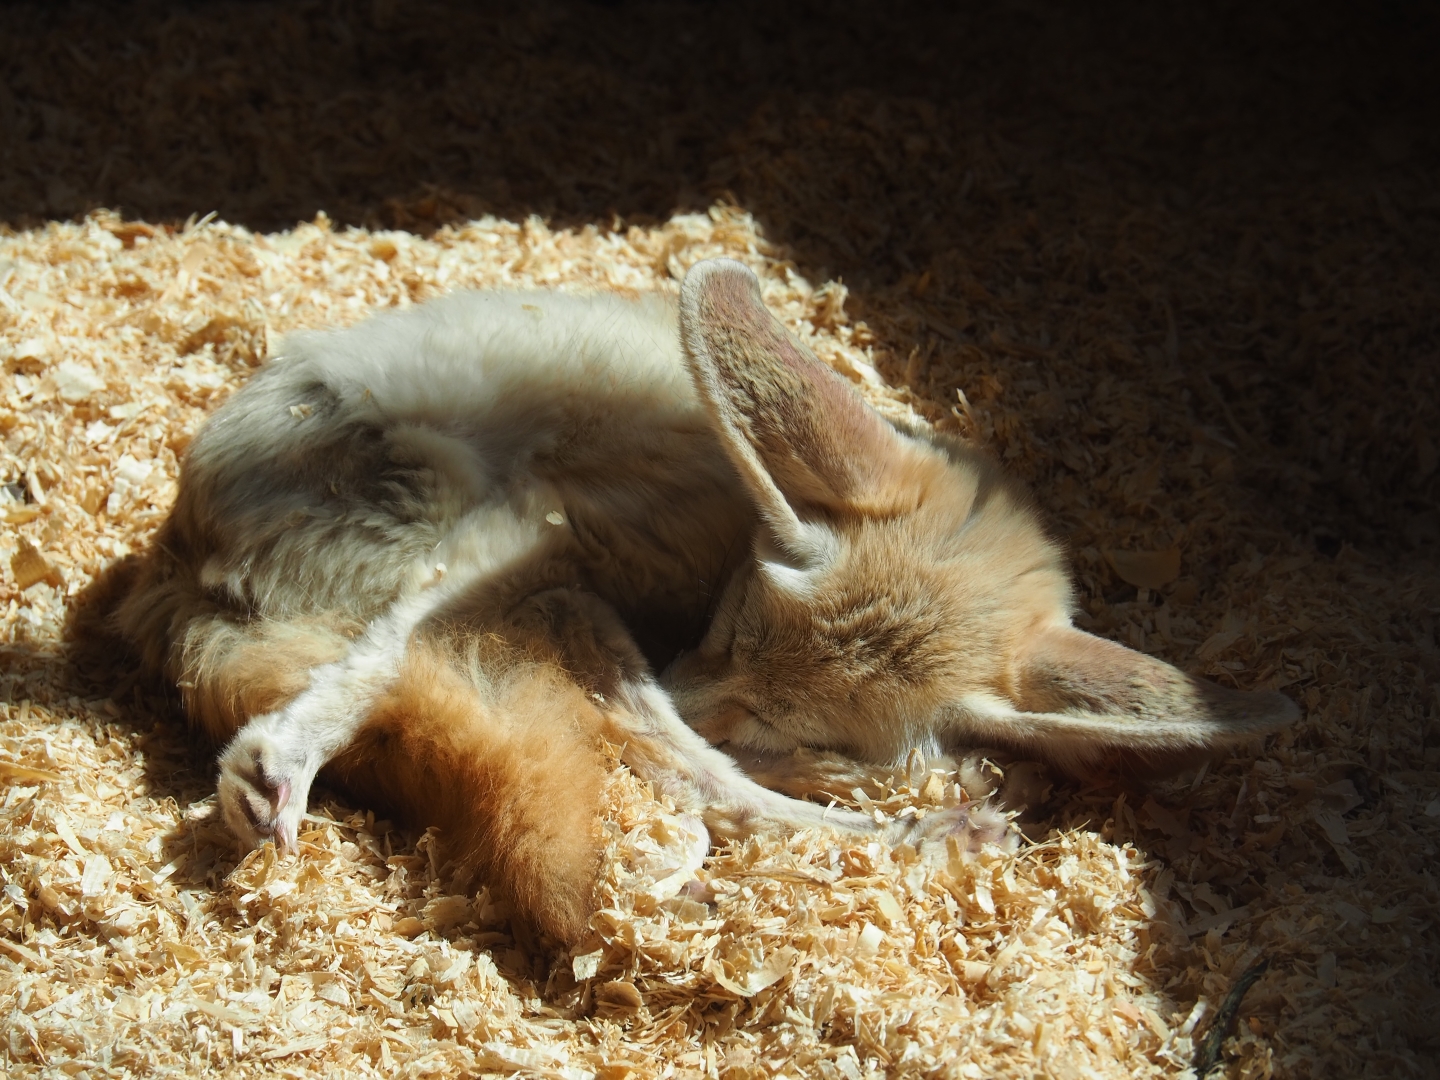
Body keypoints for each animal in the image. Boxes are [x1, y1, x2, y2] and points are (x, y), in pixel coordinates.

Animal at [114, 258, 1297, 942]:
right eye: (728, 627)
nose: (685, 666)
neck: (725, 522)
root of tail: (173, 570)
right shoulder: (579, 581)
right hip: (521, 538)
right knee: (652, 750)